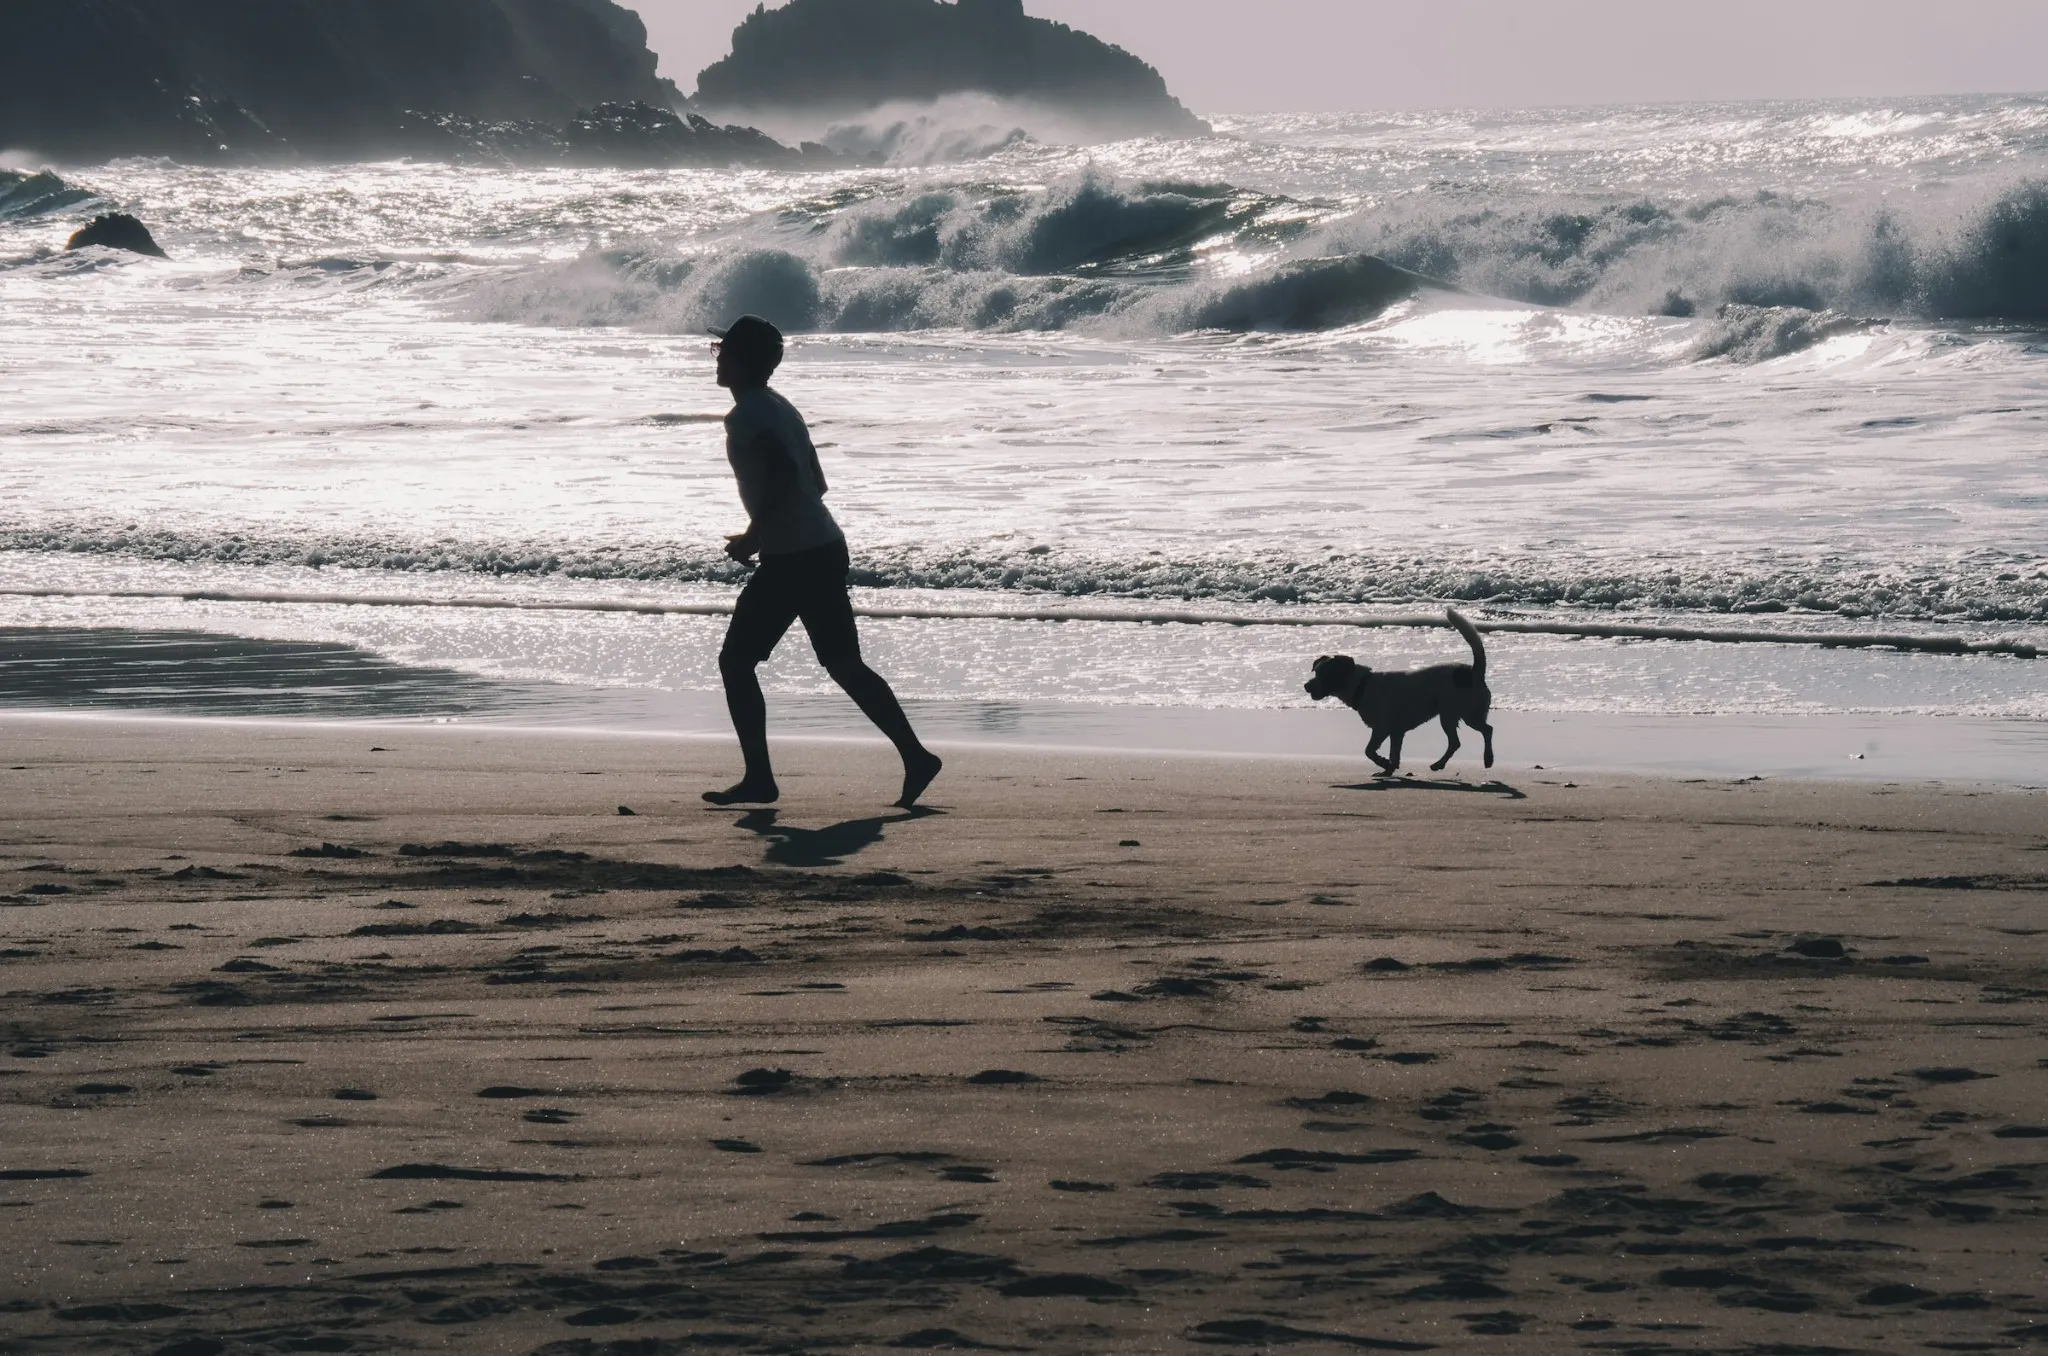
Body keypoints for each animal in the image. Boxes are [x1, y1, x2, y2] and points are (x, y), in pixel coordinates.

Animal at [1302, 606, 1499, 774]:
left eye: (1325, 675)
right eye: (1316, 671)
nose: (1306, 686)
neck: (1361, 685)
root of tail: (1473, 672)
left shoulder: (1381, 729)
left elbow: (1369, 751)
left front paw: (1384, 764)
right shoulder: (1396, 733)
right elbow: (1394, 753)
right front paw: (1389, 769)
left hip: (1462, 715)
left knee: (1485, 731)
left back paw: (1487, 759)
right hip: (1453, 715)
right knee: (1458, 742)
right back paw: (1440, 764)